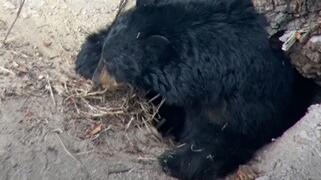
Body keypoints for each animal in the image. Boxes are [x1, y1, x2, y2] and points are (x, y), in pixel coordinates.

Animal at [75, 0, 316, 179]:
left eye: (112, 63)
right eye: (106, 55)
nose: (96, 81)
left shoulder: (246, 99)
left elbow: (222, 136)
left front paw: (174, 162)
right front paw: (87, 55)